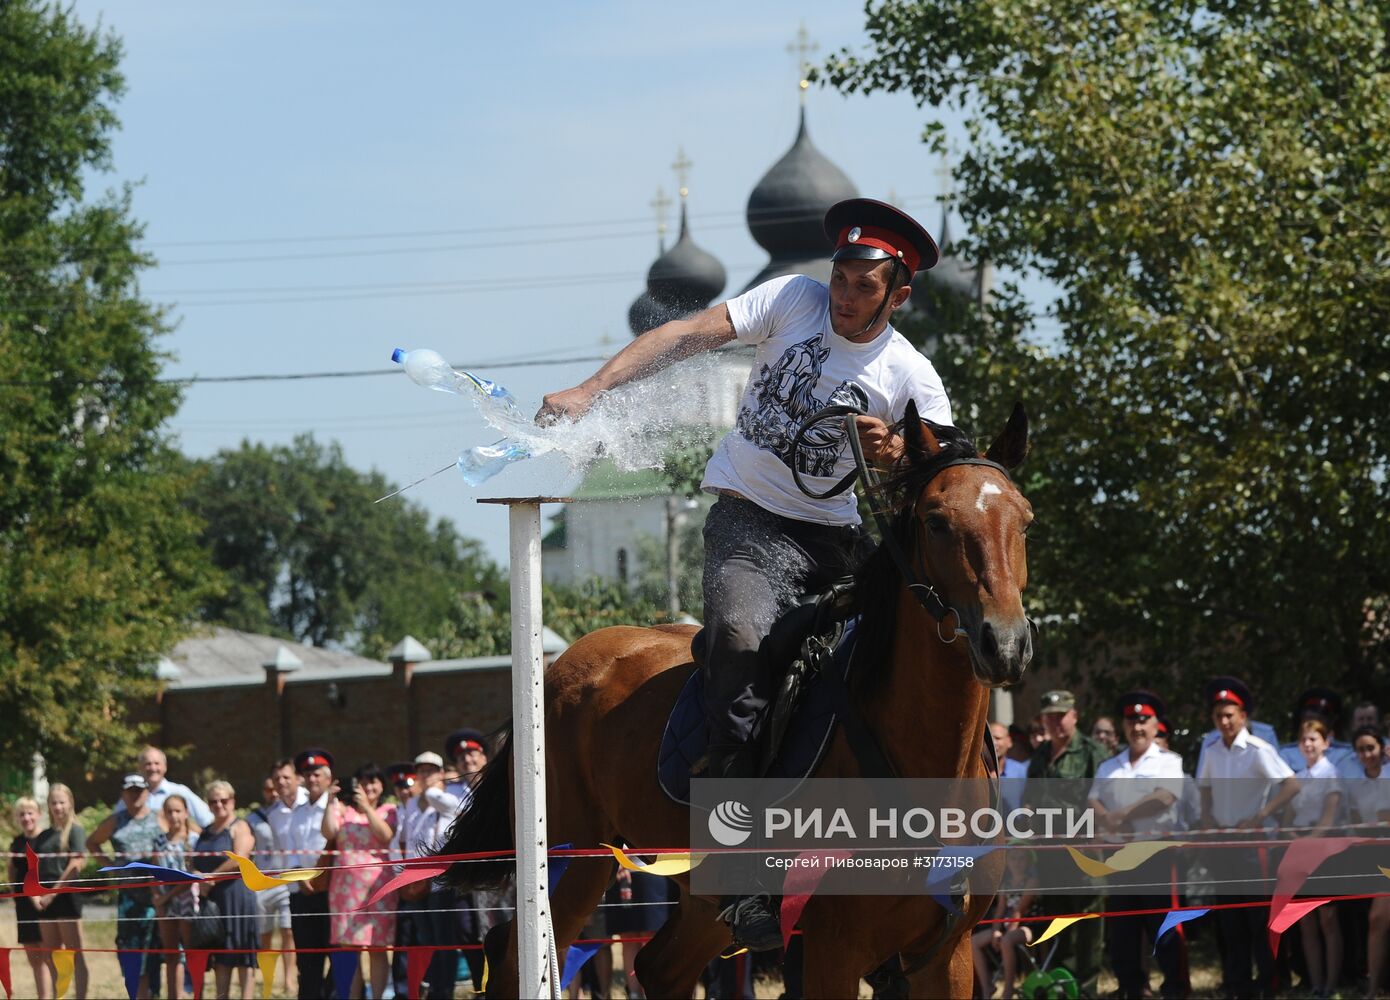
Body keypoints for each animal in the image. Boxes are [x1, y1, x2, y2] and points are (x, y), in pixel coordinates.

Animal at [439, 403, 1039, 995]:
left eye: (1025, 519)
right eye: (936, 520)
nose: (1004, 643)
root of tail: (559, 666)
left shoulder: (946, 953)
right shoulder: (832, 949)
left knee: (658, 967)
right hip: (571, 864)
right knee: (514, 955)